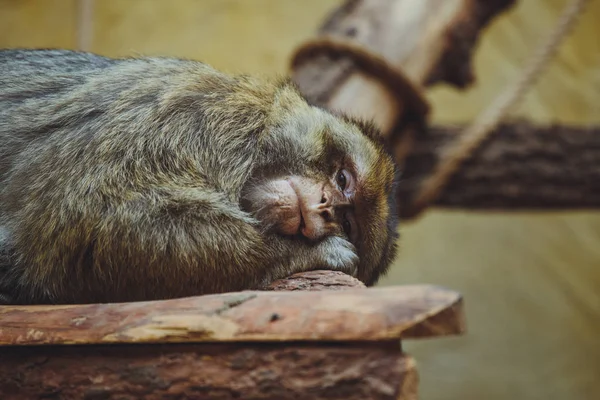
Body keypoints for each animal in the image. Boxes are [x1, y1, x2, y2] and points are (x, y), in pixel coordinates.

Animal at [0, 50, 400, 304]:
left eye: (347, 222)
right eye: (343, 179)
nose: (326, 207)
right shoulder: (206, 118)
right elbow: (89, 217)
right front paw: (313, 253)